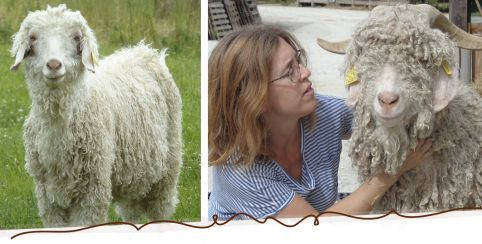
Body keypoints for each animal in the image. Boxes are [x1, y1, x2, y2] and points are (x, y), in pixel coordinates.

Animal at [9, 4, 183, 227]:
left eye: (76, 37)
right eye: (33, 37)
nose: (54, 65)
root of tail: (146, 51)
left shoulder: (92, 191)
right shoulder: (48, 198)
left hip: (168, 169)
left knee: (159, 209)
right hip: (133, 172)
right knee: (132, 210)